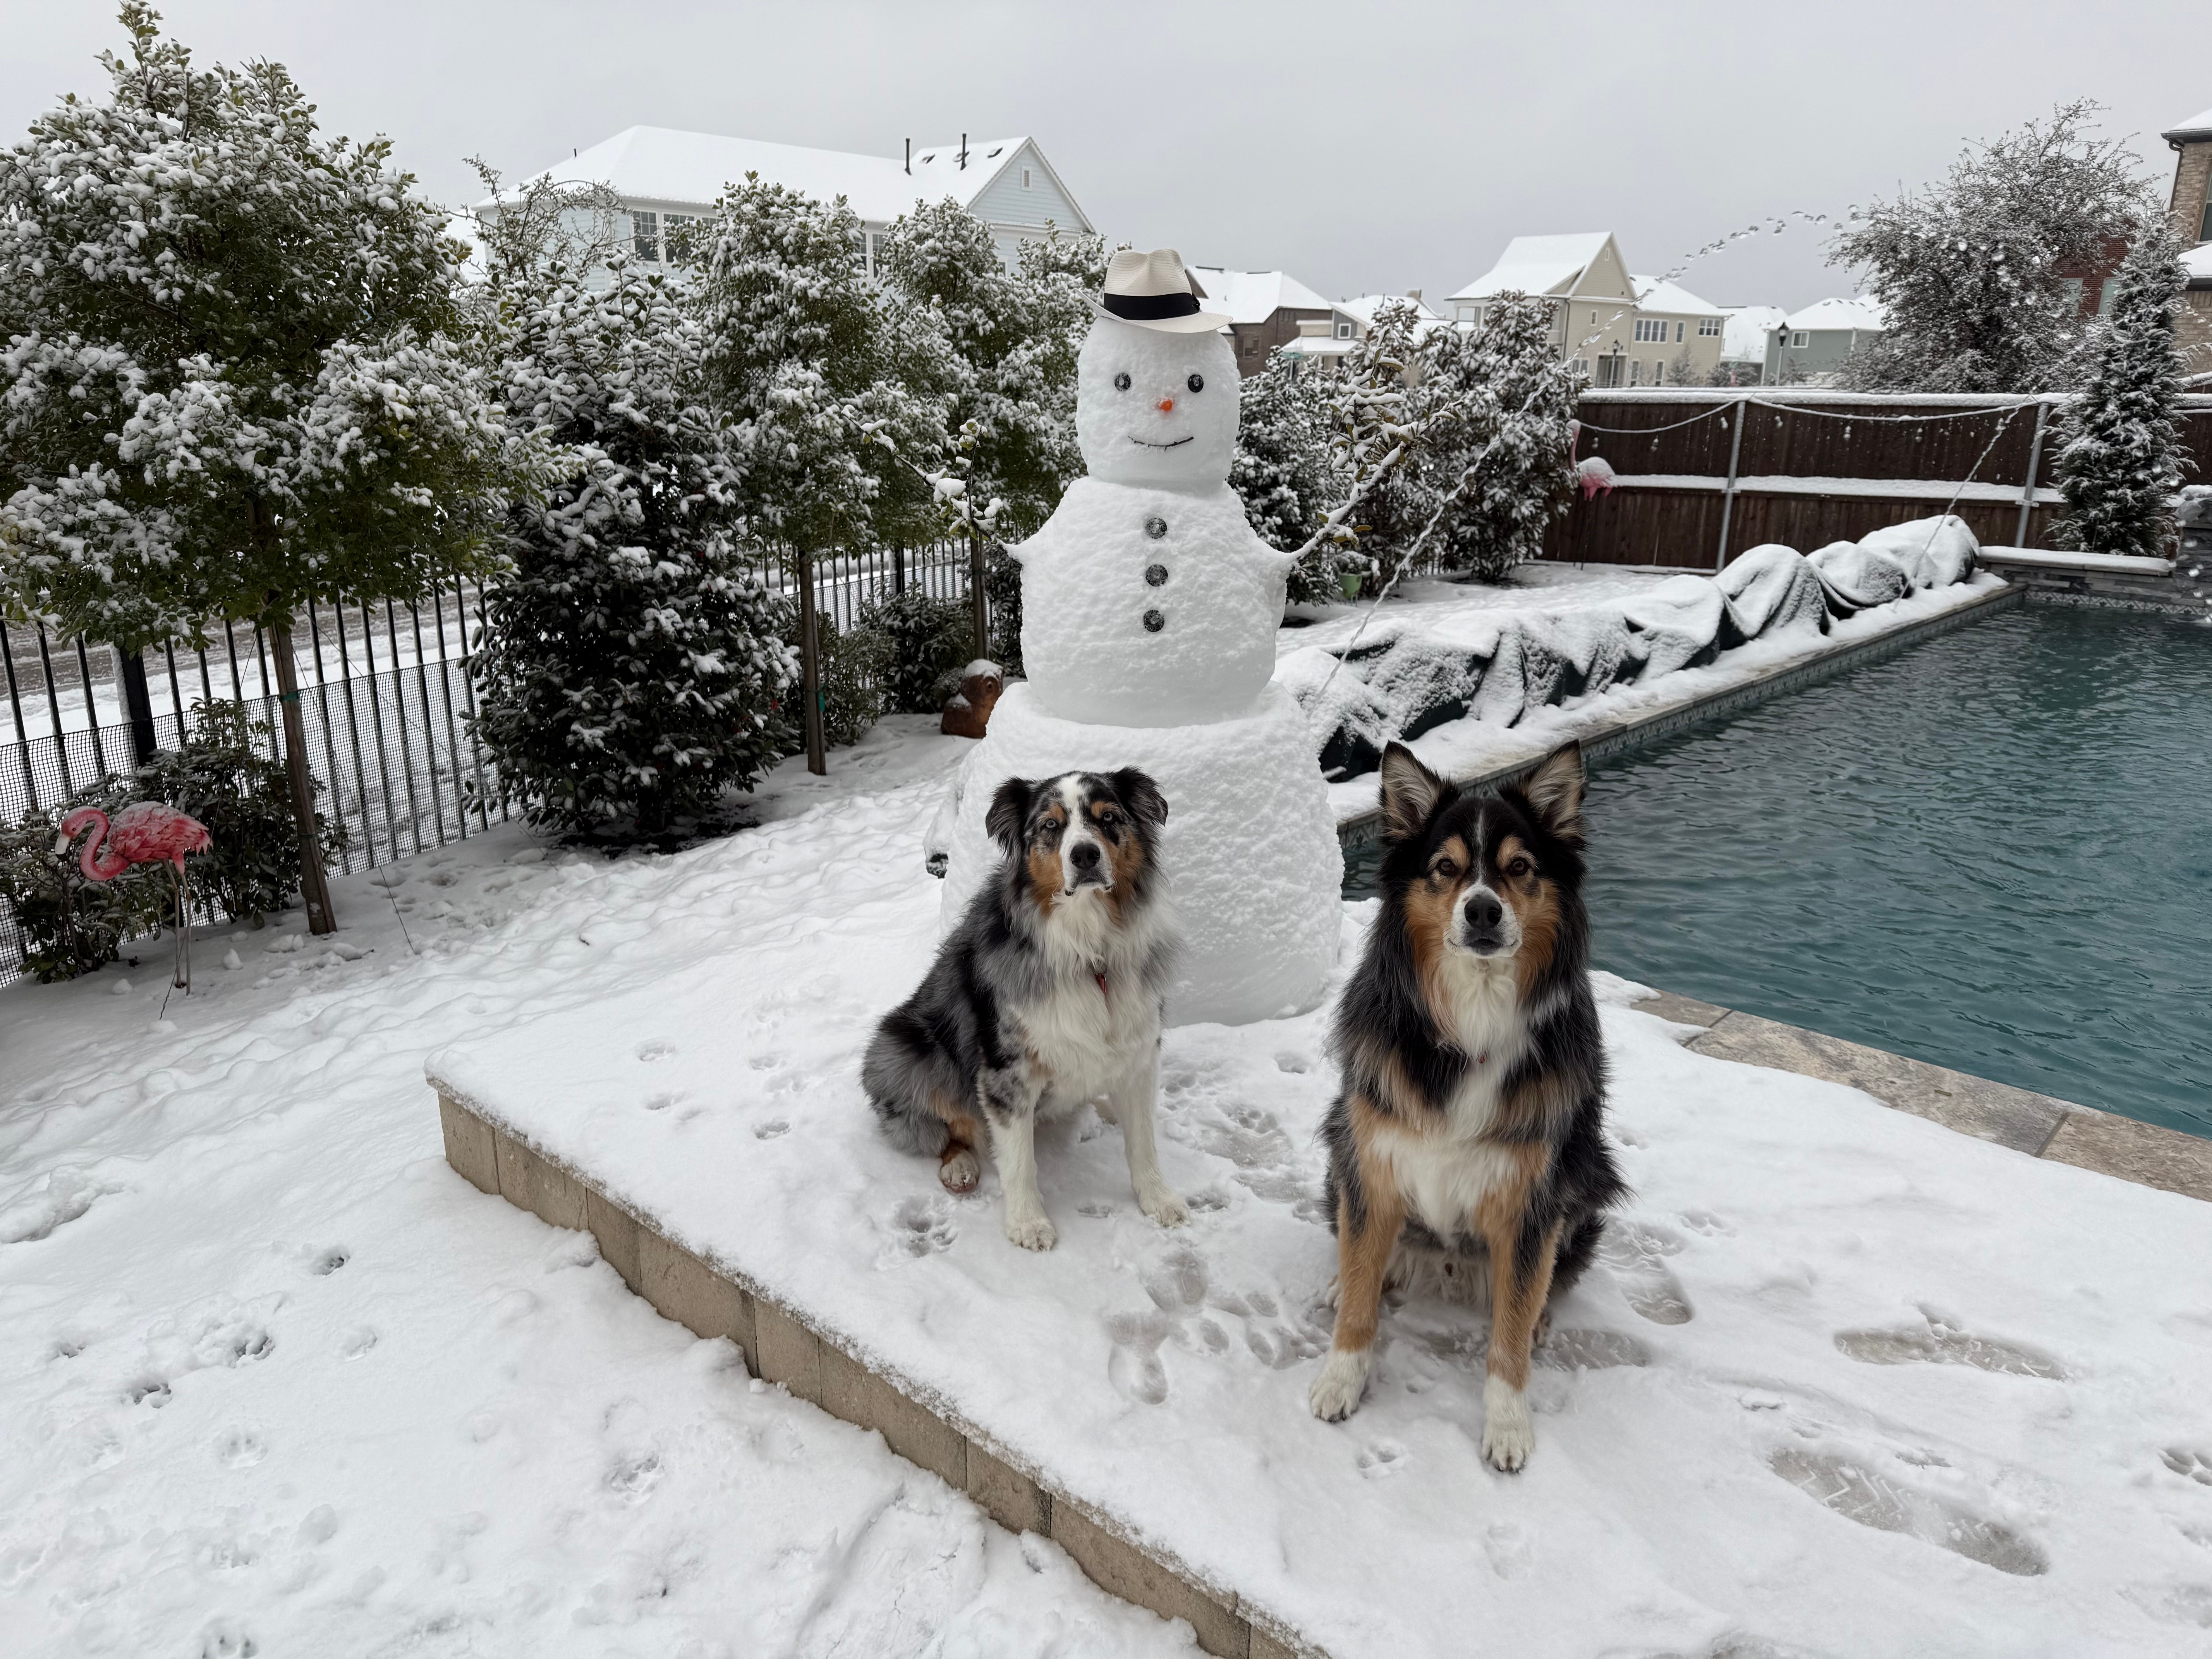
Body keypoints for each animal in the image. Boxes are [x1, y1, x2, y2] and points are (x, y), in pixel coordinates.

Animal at [1309, 747, 1628, 1477]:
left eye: (1520, 866)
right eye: (1445, 867)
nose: (1482, 911)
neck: (1472, 1018)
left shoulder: (1533, 1199)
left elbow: (1507, 1334)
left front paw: (1508, 1424)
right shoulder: (1371, 1160)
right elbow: (1362, 1290)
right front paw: (1342, 1376)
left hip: (1586, 1185)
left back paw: (1540, 1318)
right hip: (1337, 1155)